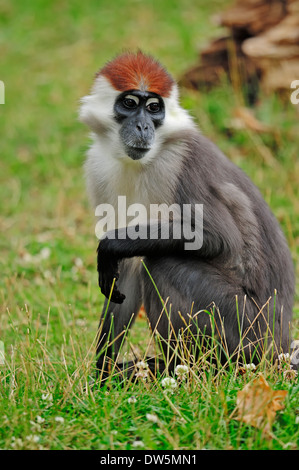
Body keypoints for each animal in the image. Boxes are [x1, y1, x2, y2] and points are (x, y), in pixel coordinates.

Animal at [78, 49, 296, 376]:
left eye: (153, 108)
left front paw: (110, 246)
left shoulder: (179, 161)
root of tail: (278, 346)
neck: (141, 162)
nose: (143, 127)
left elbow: (219, 238)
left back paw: (185, 369)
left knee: (162, 263)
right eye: (130, 104)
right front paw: (102, 374)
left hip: (243, 330)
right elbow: (124, 273)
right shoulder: (98, 167)